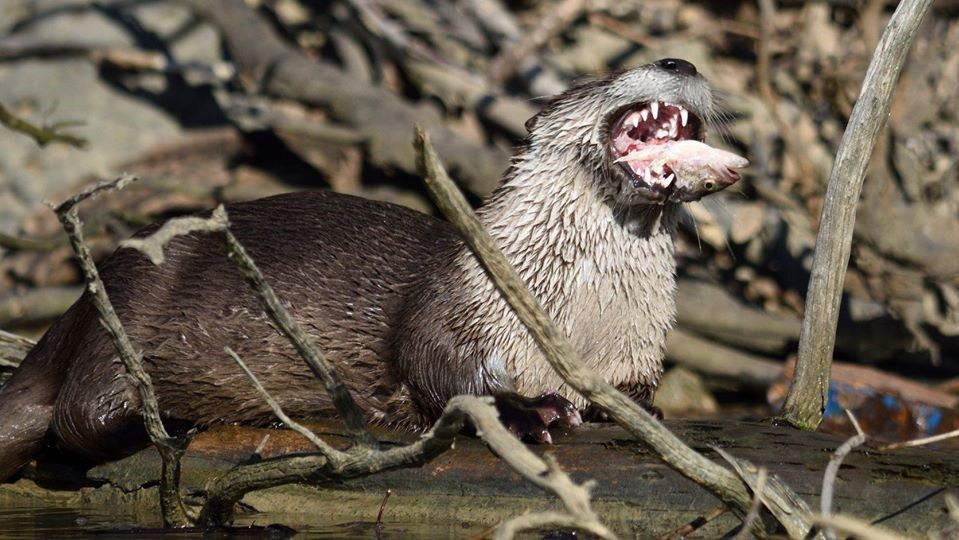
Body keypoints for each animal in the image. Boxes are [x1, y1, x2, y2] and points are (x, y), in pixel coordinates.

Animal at [0, 60, 752, 480]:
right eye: (601, 78)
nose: (680, 58)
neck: (577, 318)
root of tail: (72, 313)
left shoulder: (639, 343)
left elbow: (638, 389)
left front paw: (629, 407)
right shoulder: (461, 300)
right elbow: (435, 367)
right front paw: (527, 410)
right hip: (127, 314)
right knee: (80, 416)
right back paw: (175, 424)